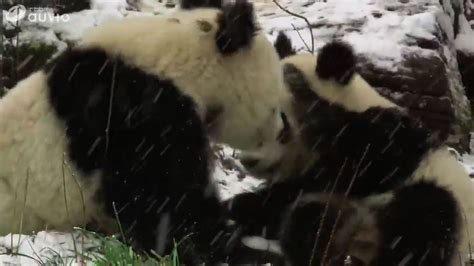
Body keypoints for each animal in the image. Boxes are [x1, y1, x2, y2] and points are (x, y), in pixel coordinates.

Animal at [227, 32, 474, 266]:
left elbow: (344, 175)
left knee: (427, 217)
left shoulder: (383, 139)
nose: (248, 160)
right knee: (310, 223)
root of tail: (365, 239)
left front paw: (246, 204)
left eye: (279, 119)